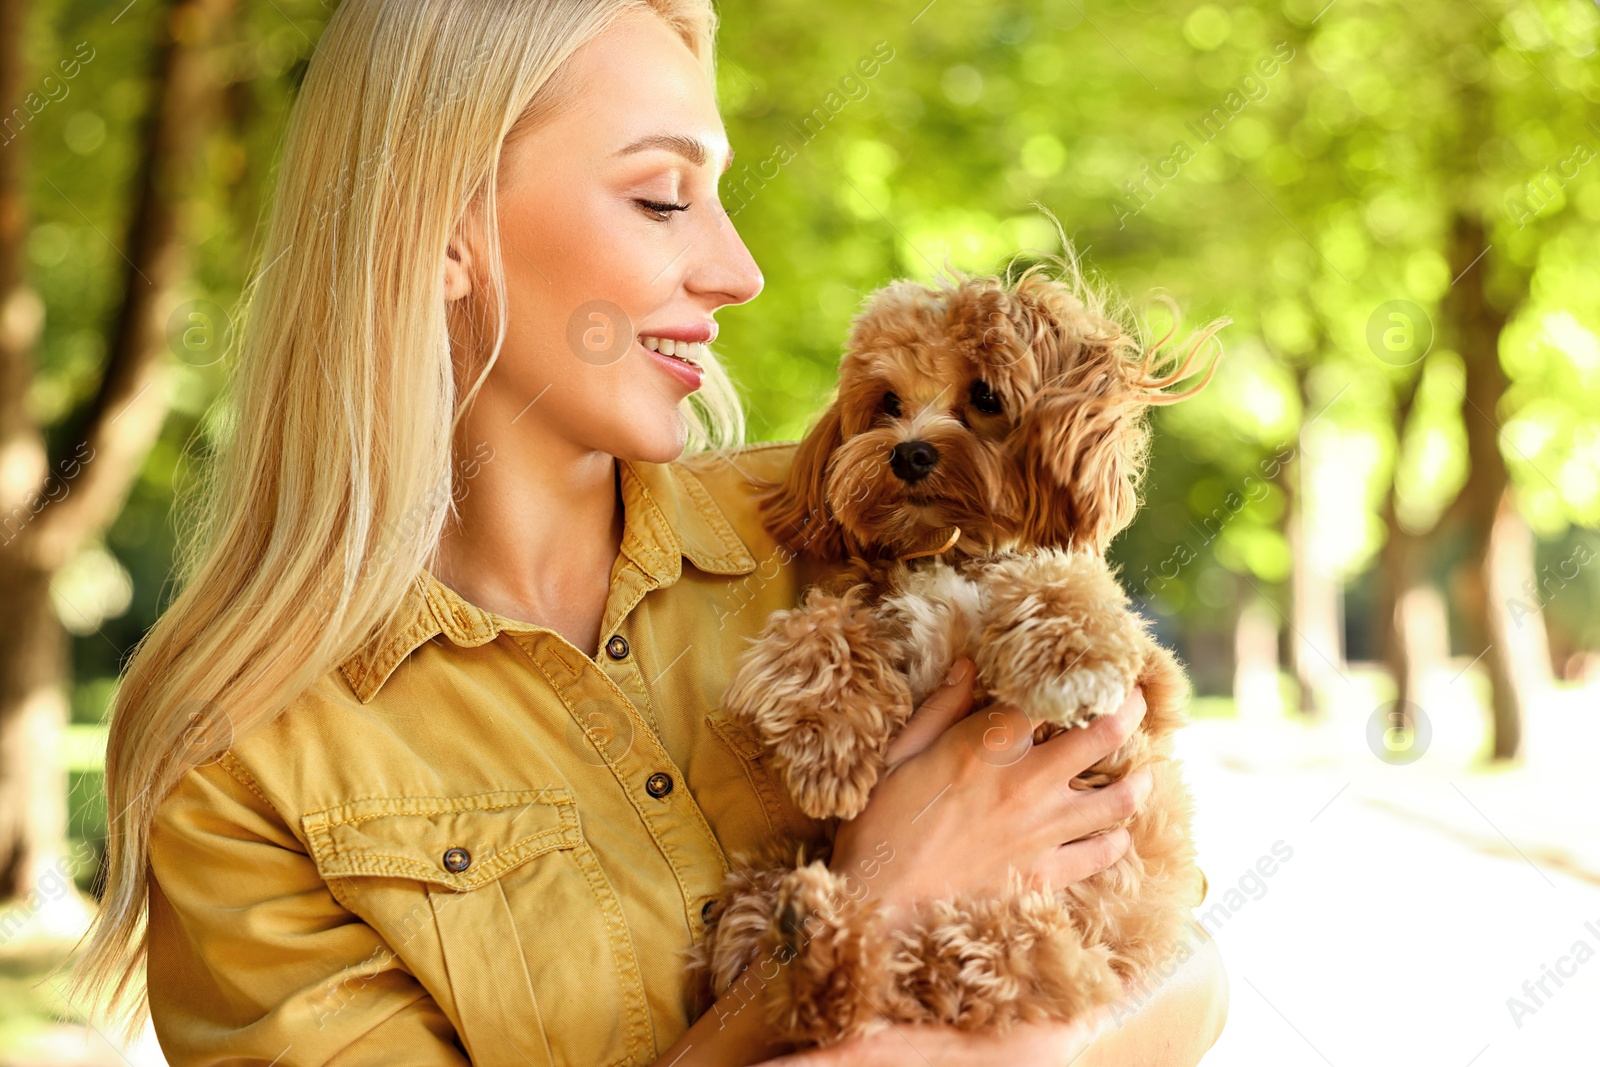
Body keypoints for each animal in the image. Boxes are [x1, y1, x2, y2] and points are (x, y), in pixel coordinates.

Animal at [694, 255, 1228, 1043]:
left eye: (983, 395)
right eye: (887, 401)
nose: (909, 451)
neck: (952, 551)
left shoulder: (1139, 702)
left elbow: (1066, 587)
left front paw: (1067, 660)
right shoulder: (874, 608)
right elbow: (813, 629)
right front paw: (828, 750)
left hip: (1044, 942)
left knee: (970, 965)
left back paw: (830, 941)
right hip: (759, 900)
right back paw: (812, 936)